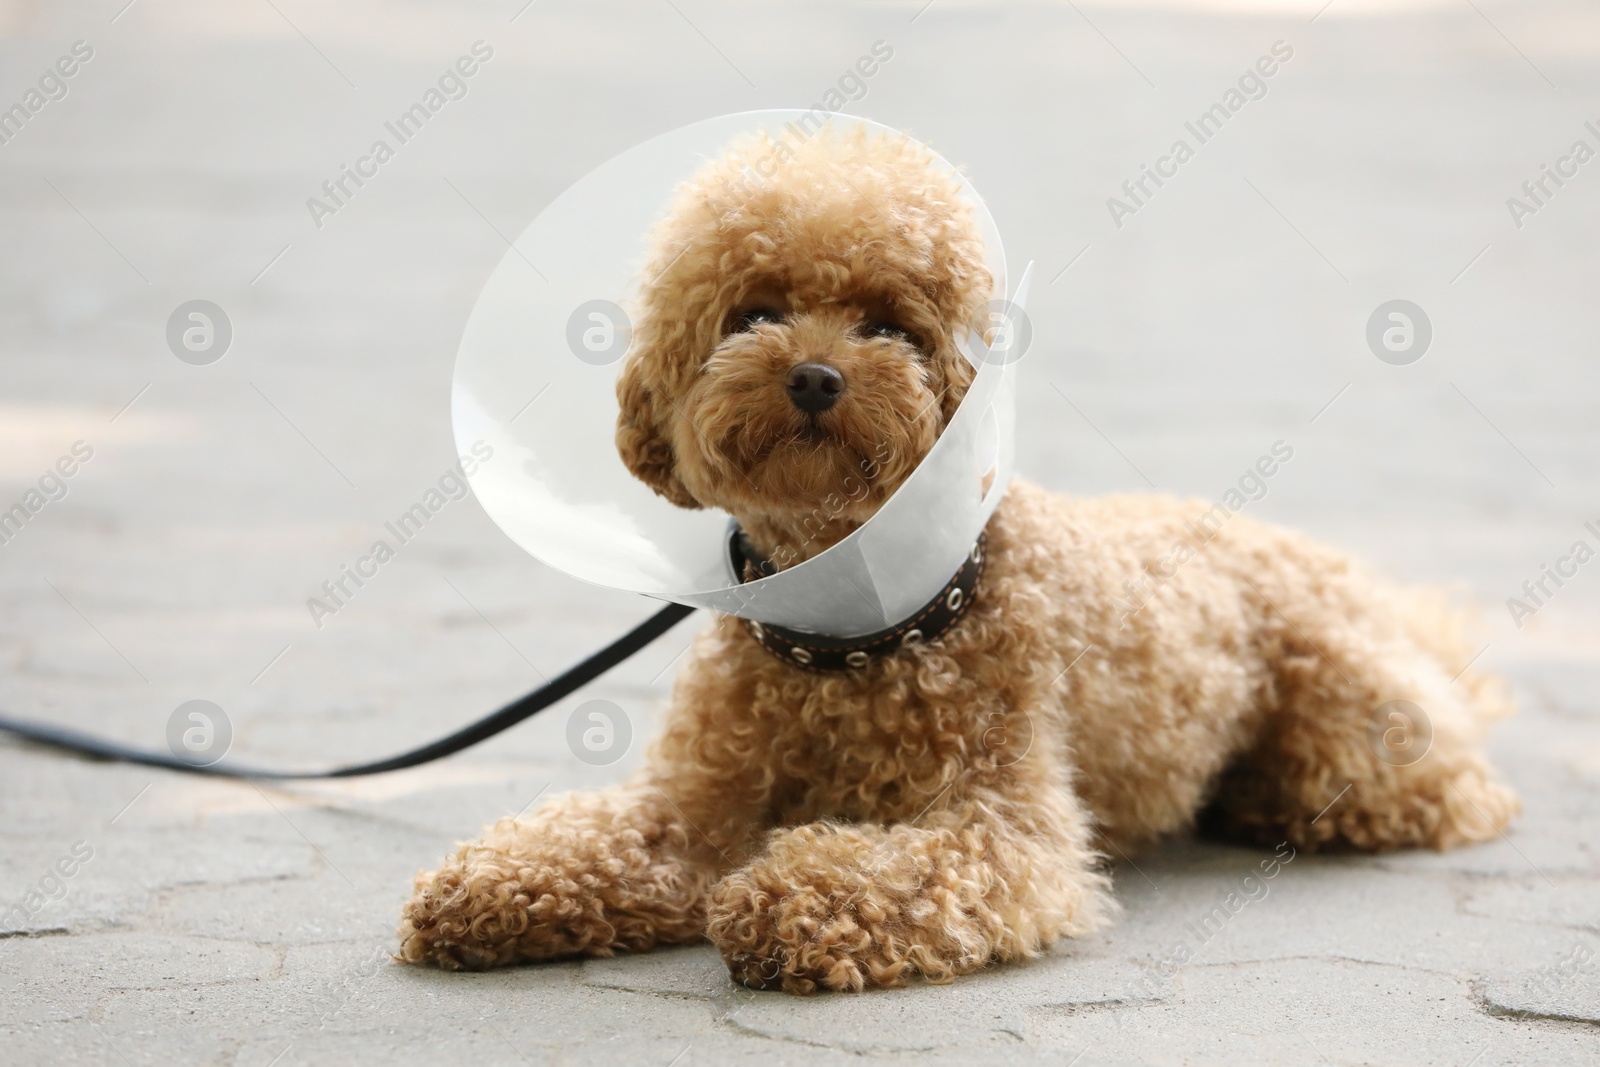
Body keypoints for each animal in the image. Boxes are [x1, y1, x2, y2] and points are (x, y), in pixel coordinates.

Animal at [393, 125, 1516, 991]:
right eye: (753, 312)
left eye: (890, 325)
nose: (813, 376)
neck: (844, 633)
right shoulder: (698, 801)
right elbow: (602, 836)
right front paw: (491, 885)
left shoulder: (1003, 825)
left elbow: (898, 872)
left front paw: (786, 899)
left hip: (1355, 732)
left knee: (1447, 789)